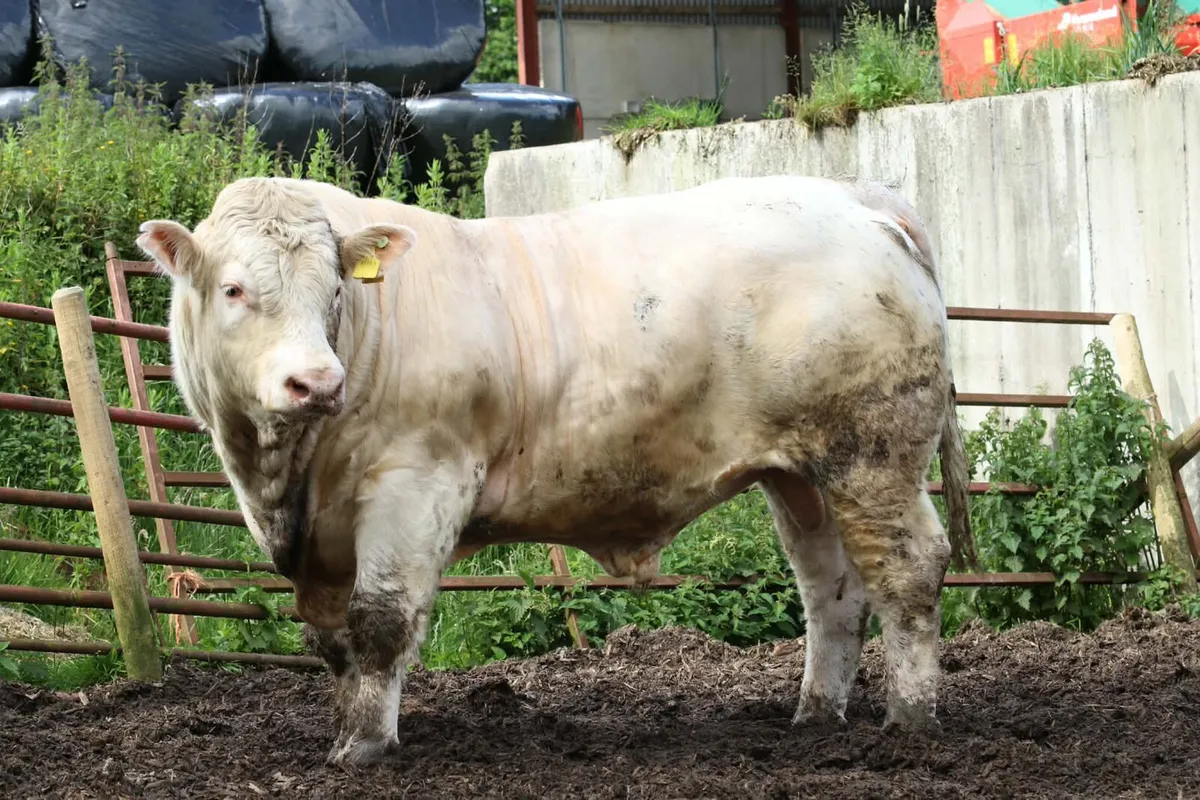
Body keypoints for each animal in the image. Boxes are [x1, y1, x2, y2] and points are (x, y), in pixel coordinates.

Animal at [135, 173, 974, 766]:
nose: (316, 382)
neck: (284, 479)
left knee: (907, 570)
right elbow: (332, 639)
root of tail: (855, 197)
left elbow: (381, 622)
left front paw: (366, 748)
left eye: (335, 288)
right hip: (802, 476)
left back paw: (908, 721)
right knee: (831, 588)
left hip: (872, 456)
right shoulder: (322, 539)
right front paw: (347, 732)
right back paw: (815, 716)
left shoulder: (417, 482)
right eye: (234, 289)